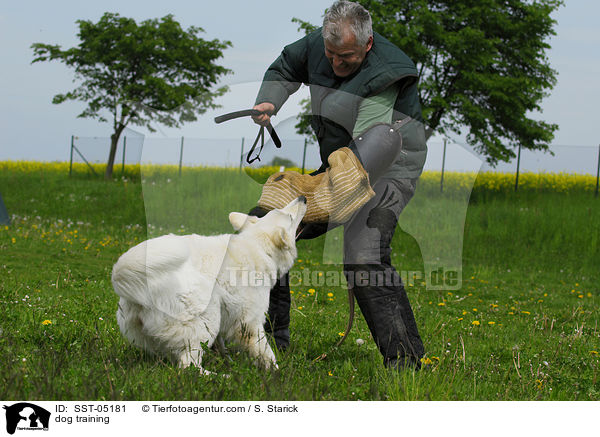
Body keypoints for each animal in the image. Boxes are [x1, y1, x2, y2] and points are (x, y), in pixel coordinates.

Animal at [110, 196, 308, 372]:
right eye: (290, 217)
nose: (303, 198)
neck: (258, 247)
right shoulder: (249, 324)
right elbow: (267, 354)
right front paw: (277, 374)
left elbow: (222, 346)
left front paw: (227, 361)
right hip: (207, 319)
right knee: (188, 367)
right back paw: (219, 377)